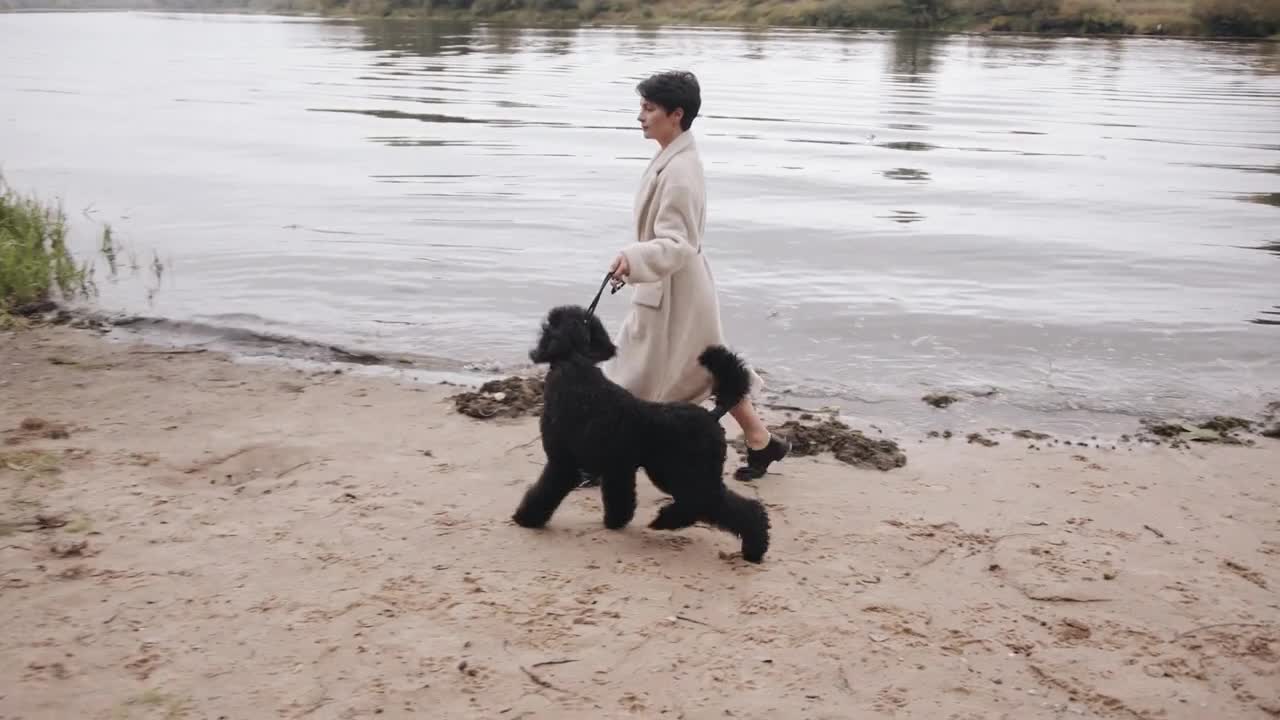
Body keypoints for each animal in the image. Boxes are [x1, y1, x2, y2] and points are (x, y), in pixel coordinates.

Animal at [509, 302, 768, 561]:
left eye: (548, 325)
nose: (535, 351)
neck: (576, 367)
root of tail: (712, 415)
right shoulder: (618, 467)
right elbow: (619, 499)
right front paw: (615, 522)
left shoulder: (563, 462)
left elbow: (545, 491)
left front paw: (525, 517)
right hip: (677, 474)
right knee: (708, 504)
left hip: (687, 474)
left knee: (717, 504)